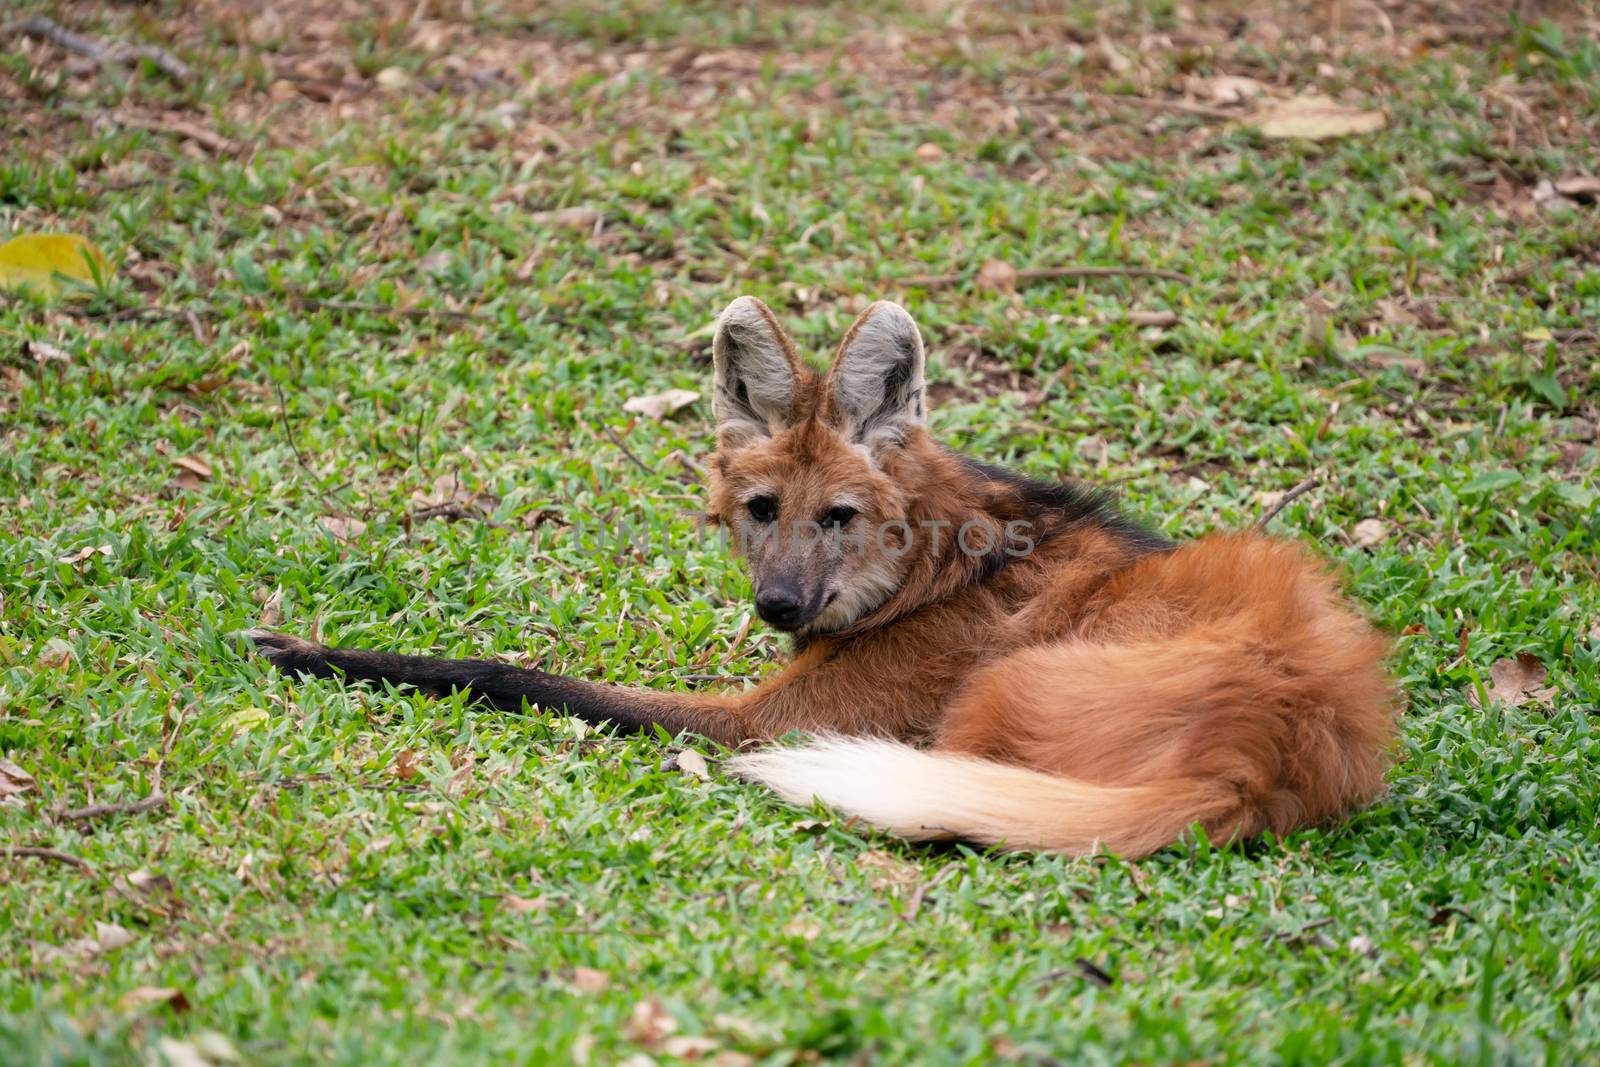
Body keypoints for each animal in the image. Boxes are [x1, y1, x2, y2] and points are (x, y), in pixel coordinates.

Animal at [243, 294, 1395, 857]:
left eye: (838, 517)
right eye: (763, 511)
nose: (779, 604)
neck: (934, 566)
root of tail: (1269, 753)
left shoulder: (765, 719)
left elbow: (515, 670)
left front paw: (305, 648)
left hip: (994, 700)